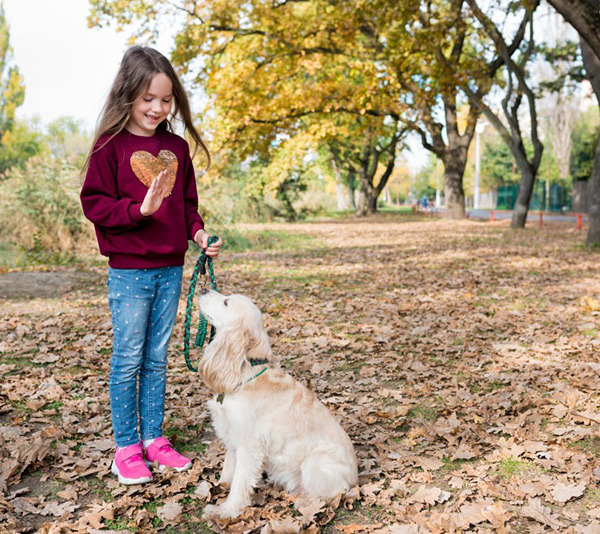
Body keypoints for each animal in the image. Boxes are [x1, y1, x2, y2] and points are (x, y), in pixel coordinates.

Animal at [198, 292, 356, 520]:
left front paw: (227, 511)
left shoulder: (249, 446)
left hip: (315, 462)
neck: (245, 369)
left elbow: (239, 482)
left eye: (226, 301)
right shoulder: (232, 437)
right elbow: (228, 470)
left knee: (332, 495)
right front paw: (220, 488)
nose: (203, 290)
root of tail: (356, 481)